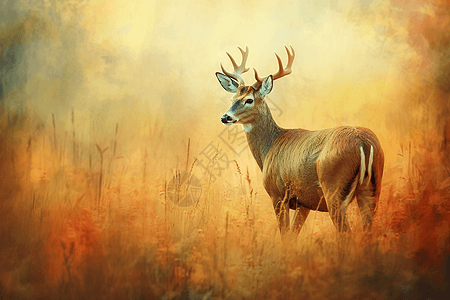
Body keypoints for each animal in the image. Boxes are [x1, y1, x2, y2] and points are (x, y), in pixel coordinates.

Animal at [216, 45, 384, 237]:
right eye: (233, 99)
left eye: (249, 100)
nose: (225, 117)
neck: (269, 148)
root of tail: (363, 143)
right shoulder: (305, 203)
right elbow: (293, 236)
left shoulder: (278, 195)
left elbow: (285, 236)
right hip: (373, 188)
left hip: (334, 189)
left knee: (346, 234)